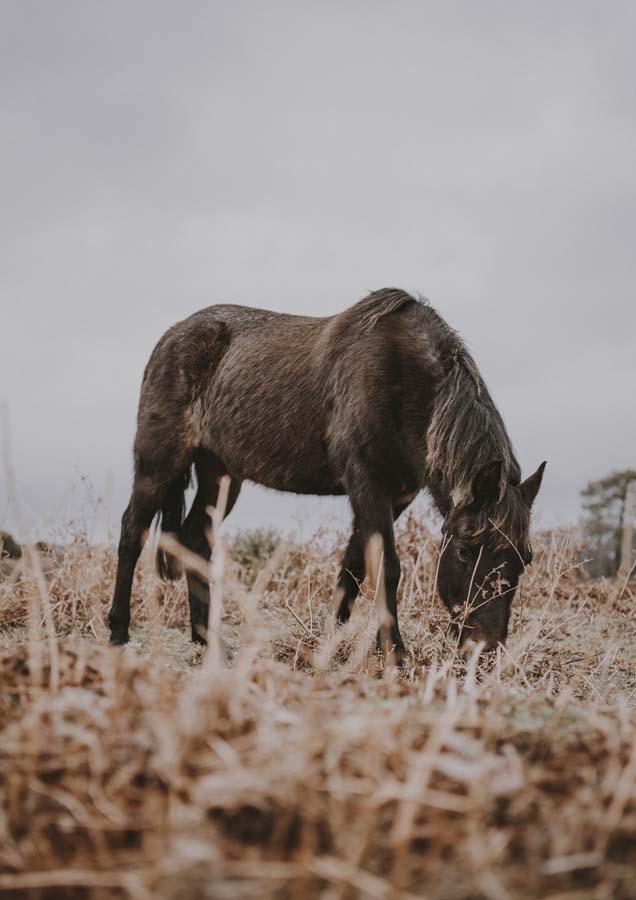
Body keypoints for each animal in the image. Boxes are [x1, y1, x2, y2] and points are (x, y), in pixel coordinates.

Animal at [107, 288, 544, 660]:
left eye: (525, 559)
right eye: (467, 550)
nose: (485, 649)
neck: (402, 378)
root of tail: (172, 337)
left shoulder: (395, 494)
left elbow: (353, 566)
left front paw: (330, 644)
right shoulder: (366, 482)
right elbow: (386, 566)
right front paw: (395, 654)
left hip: (221, 475)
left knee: (196, 539)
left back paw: (208, 641)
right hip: (159, 462)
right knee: (132, 531)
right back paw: (118, 632)